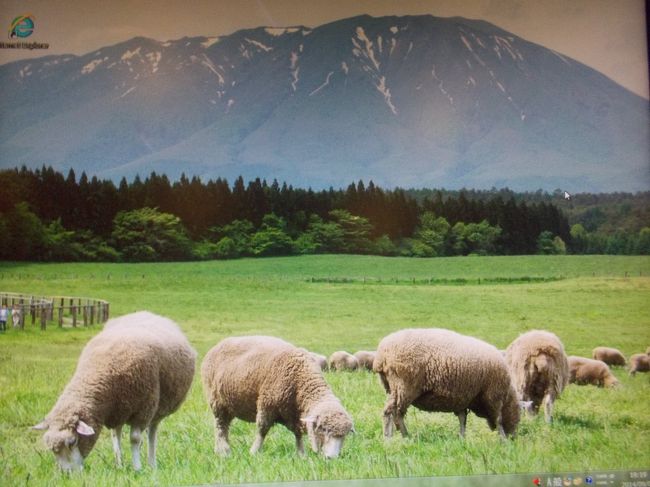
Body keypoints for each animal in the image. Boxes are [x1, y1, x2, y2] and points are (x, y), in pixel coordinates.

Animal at [32, 312, 195, 472]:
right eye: (51, 448)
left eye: (72, 441)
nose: (66, 474)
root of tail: (149, 313)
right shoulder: (116, 409)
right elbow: (116, 437)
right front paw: (121, 465)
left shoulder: (143, 410)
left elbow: (135, 438)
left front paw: (137, 468)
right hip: (121, 409)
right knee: (116, 433)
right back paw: (120, 463)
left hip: (156, 409)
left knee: (152, 433)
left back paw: (151, 464)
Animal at [202, 338, 354, 460]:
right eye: (323, 429)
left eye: (344, 436)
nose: (332, 458)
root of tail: (219, 344)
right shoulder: (266, 404)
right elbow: (262, 431)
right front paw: (254, 452)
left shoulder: (295, 414)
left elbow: (298, 435)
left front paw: (301, 455)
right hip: (217, 402)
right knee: (220, 427)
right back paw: (224, 452)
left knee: (225, 427)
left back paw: (221, 450)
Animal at [372, 330, 520, 440]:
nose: (514, 438)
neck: (508, 396)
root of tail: (382, 355)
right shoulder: (493, 396)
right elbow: (499, 420)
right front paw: (503, 440)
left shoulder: (463, 398)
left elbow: (462, 419)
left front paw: (462, 438)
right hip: (404, 387)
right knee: (392, 413)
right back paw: (395, 438)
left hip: (393, 388)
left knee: (395, 413)